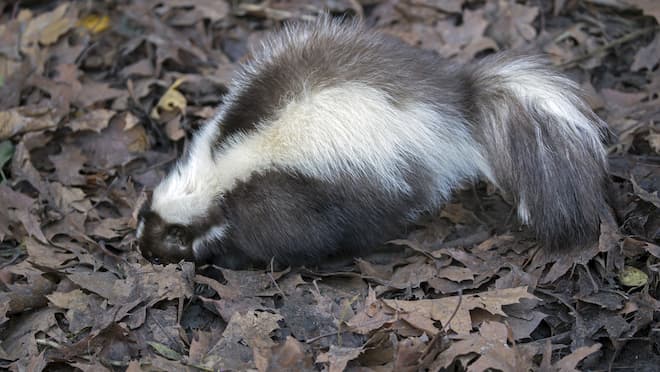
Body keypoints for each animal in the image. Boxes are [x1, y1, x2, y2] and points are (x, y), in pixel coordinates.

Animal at [134, 16, 608, 268]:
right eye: (143, 221)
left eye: (168, 239)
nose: (142, 250)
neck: (217, 170)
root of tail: (452, 100)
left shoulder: (281, 197)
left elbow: (283, 239)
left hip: (387, 172)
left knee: (384, 214)